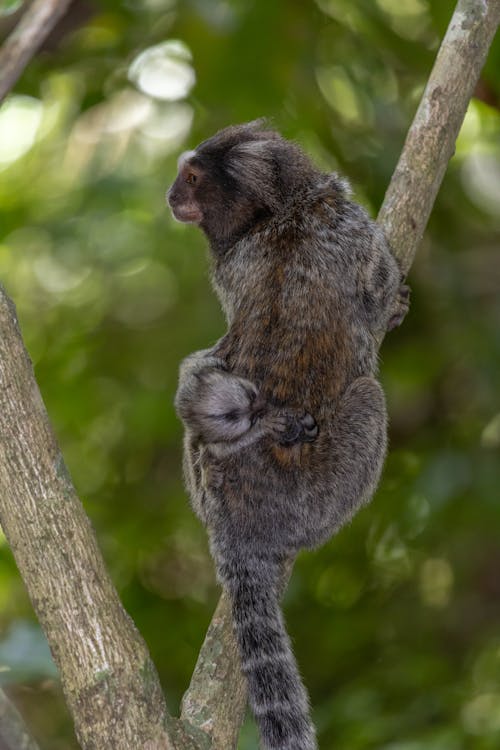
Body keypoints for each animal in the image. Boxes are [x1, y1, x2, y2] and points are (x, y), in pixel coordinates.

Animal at [166, 123, 408, 750]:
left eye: (192, 177)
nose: (172, 196)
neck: (280, 211)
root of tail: (233, 513)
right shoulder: (349, 223)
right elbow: (377, 289)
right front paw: (392, 302)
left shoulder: (234, 265)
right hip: (320, 488)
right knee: (369, 399)